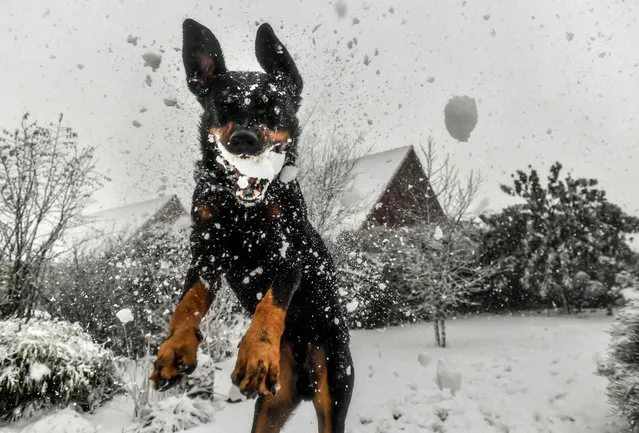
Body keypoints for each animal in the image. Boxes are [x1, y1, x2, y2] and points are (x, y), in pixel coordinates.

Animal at [152, 18, 358, 430]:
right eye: (224, 107)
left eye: (271, 108)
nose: (243, 139)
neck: (243, 213)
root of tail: (304, 382)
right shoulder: (207, 253)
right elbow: (188, 301)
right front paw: (175, 346)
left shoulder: (291, 253)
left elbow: (271, 302)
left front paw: (257, 352)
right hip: (270, 408)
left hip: (334, 381)